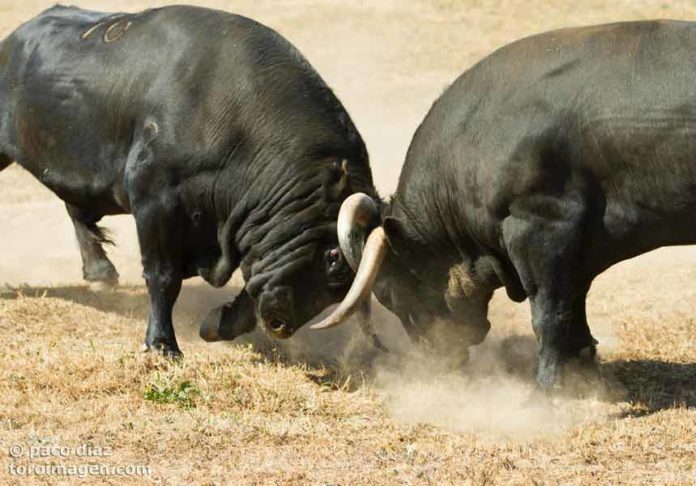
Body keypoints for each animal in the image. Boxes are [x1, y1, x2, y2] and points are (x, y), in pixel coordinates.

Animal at [1, 2, 376, 354]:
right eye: (334, 259)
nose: (280, 324)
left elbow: (250, 280)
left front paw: (218, 323)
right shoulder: (154, 201)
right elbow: (163, 276)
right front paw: (162, 344)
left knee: (76, 208)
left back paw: (100, 274)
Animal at [316, 19, 696, 392]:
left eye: (390, 292)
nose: (438, 358)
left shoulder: (542, 229)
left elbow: (549, 313)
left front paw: (547, 389)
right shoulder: (578, 250)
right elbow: (574, 306)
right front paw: (582, 371)